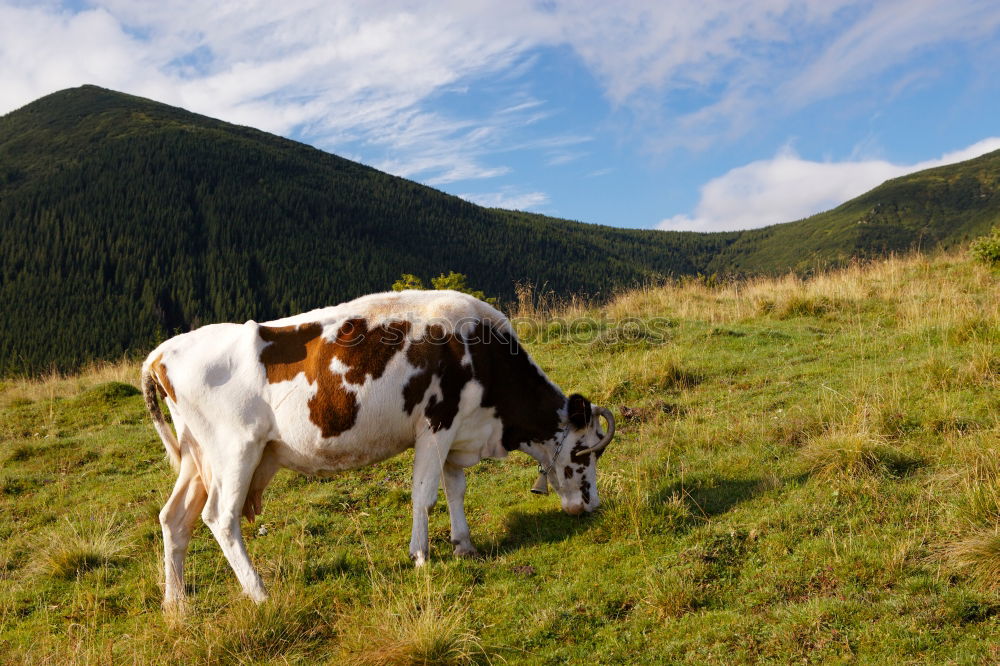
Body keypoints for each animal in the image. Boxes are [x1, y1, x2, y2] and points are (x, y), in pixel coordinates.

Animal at [140, 288, 608, 604]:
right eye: (583, 453)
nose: (591, 505)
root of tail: (163, 351)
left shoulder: (457, 429)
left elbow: (455, 488)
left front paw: (464, 544)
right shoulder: (435, 423)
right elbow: (425, 494)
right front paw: (420, 556)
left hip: (197, 457)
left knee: (174, 518)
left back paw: (176, 603)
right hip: (233, 451)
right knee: (219, 517)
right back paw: (259, 592)